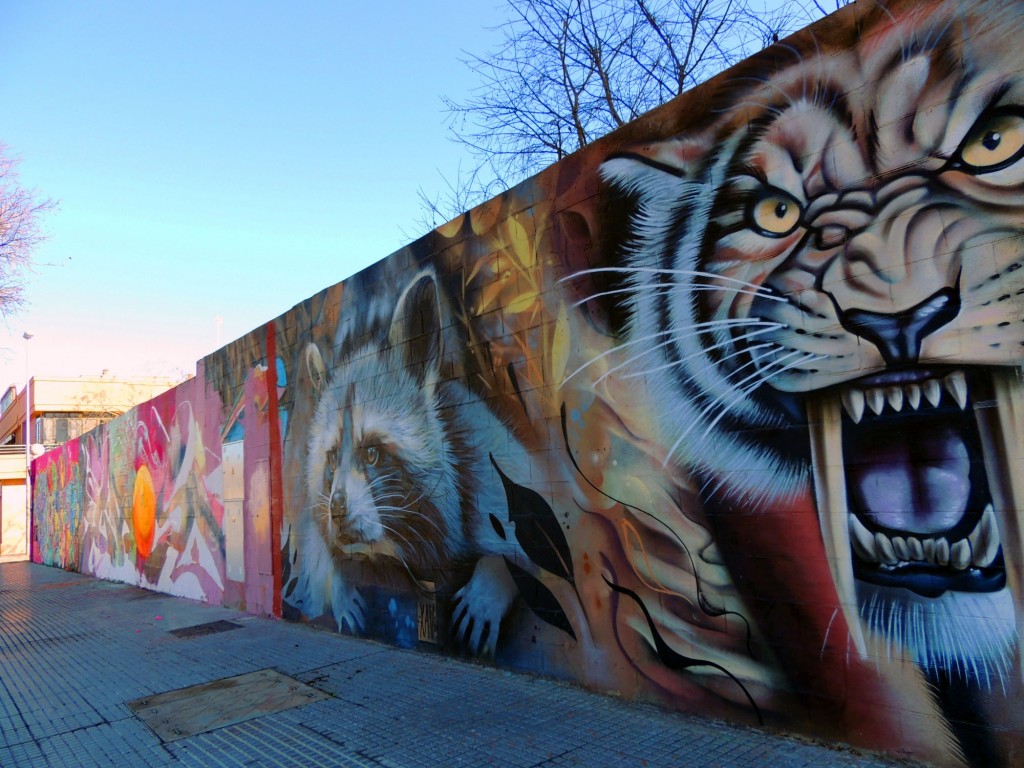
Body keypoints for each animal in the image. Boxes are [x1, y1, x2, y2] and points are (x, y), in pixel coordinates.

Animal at [299, 266, 528, 655]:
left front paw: (495, 576)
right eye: (330, 459)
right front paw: (337, 582)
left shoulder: (488, 460)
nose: (337, 511)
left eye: (372, 452)